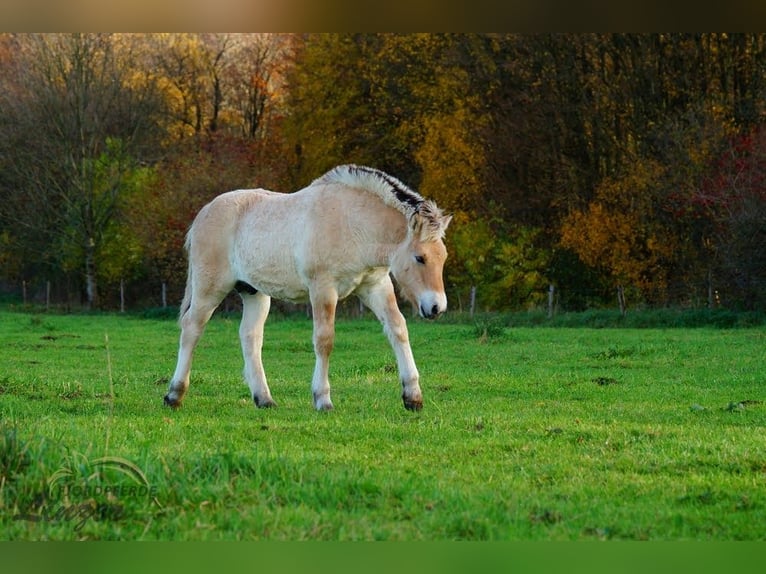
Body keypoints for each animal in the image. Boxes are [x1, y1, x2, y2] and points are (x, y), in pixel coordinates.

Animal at [163, 164, 452, 412]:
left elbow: (398, 330)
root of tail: (204, 213)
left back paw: (264, 399)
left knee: (250, 336)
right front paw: (322, 399)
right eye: (420, 258)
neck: (352, 223)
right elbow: (324, 340)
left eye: (443, 257)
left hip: (254, 292)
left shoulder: (375, 286)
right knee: (191, 328)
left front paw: (413, 396)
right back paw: (174, 395)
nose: (437, 307)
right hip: (209, 289)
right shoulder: (323, 288)